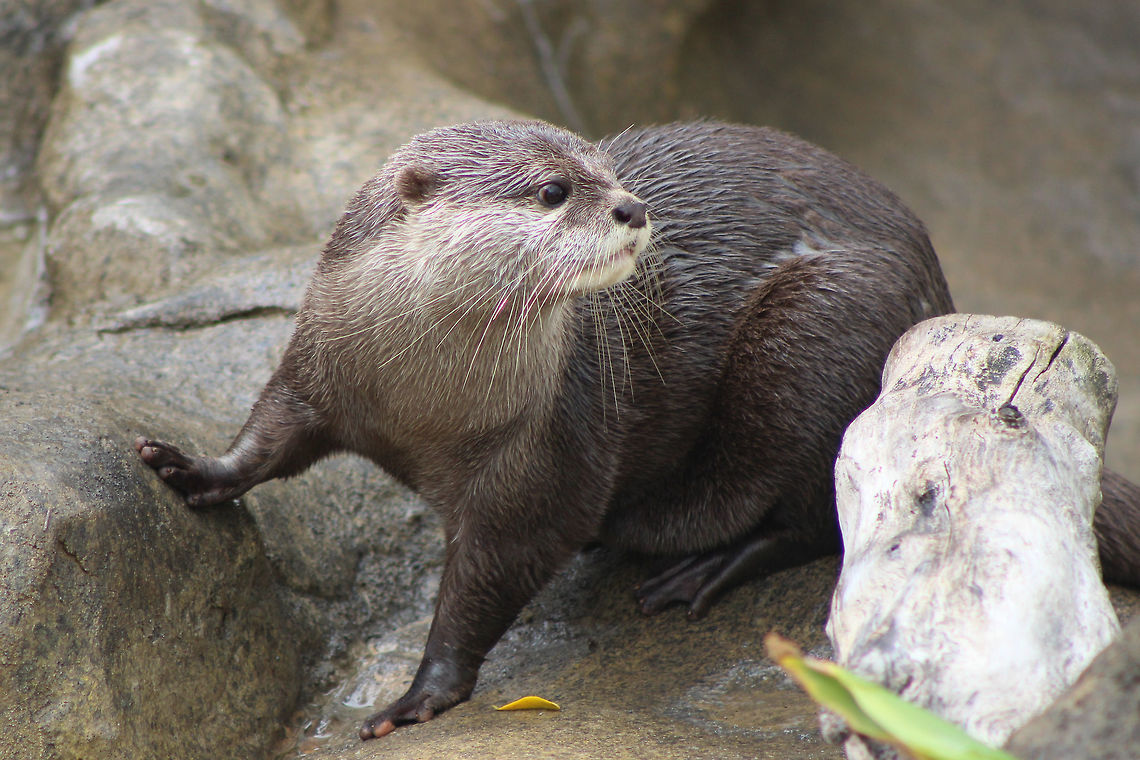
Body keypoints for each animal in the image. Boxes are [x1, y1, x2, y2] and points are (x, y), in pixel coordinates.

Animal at [134, 120, 1140, 740]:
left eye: (608, 173)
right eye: (552, 190)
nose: (632, 207)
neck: (428, 398)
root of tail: (941, 289)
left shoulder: (544, 454)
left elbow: (490, 574)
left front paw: (419, 695)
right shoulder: (322, 360)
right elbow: (271, 434)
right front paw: (188, 470)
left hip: (820, 335)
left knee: (816, 513)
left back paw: (701, 568)